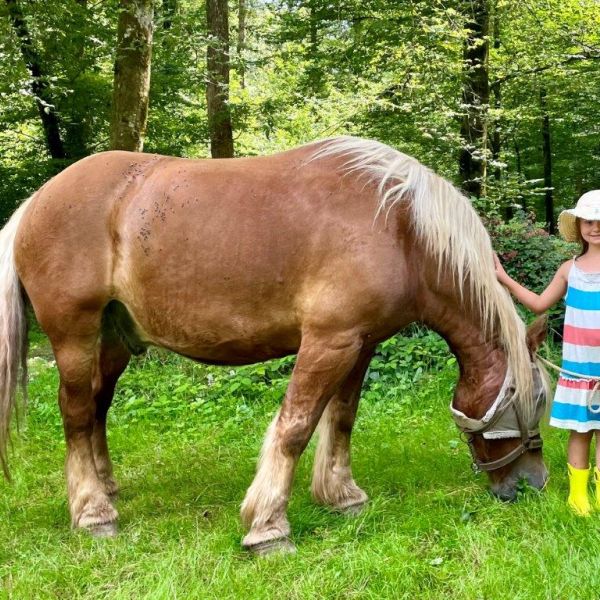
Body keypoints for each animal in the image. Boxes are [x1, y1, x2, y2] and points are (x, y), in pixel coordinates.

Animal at [0, 136, 548, 552]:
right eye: (530, 402)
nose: (534, 484)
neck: (399, 227)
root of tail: (36, 201)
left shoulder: (361, 344)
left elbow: (341, 419)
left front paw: (342, 496)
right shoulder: (328, 342)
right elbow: (295, 427)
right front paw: (268, 526)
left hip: (113, 340)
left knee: (97, 407)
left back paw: (106, 487)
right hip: (73, 335)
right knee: (75, 413)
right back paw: (94, 513)